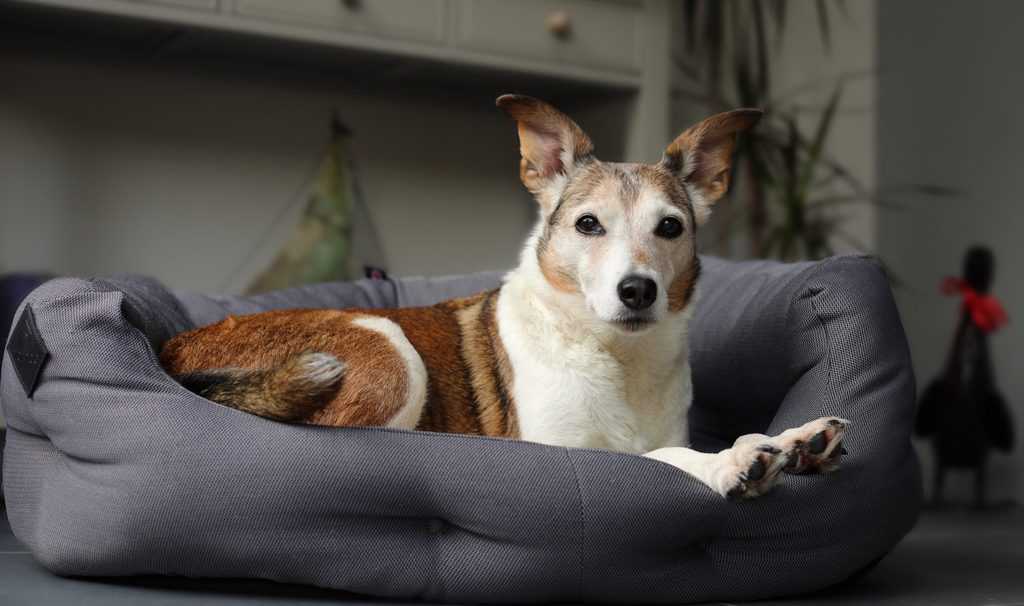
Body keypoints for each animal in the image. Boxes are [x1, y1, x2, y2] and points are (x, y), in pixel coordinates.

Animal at [161, 94, 847, 499]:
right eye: (588, 225)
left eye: (671, 227)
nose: (637, 290)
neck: (615, 358)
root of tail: (172, 350)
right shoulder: (565, 453)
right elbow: (662, 458)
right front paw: (732, 460)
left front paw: (796, 442)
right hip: (387, 349)